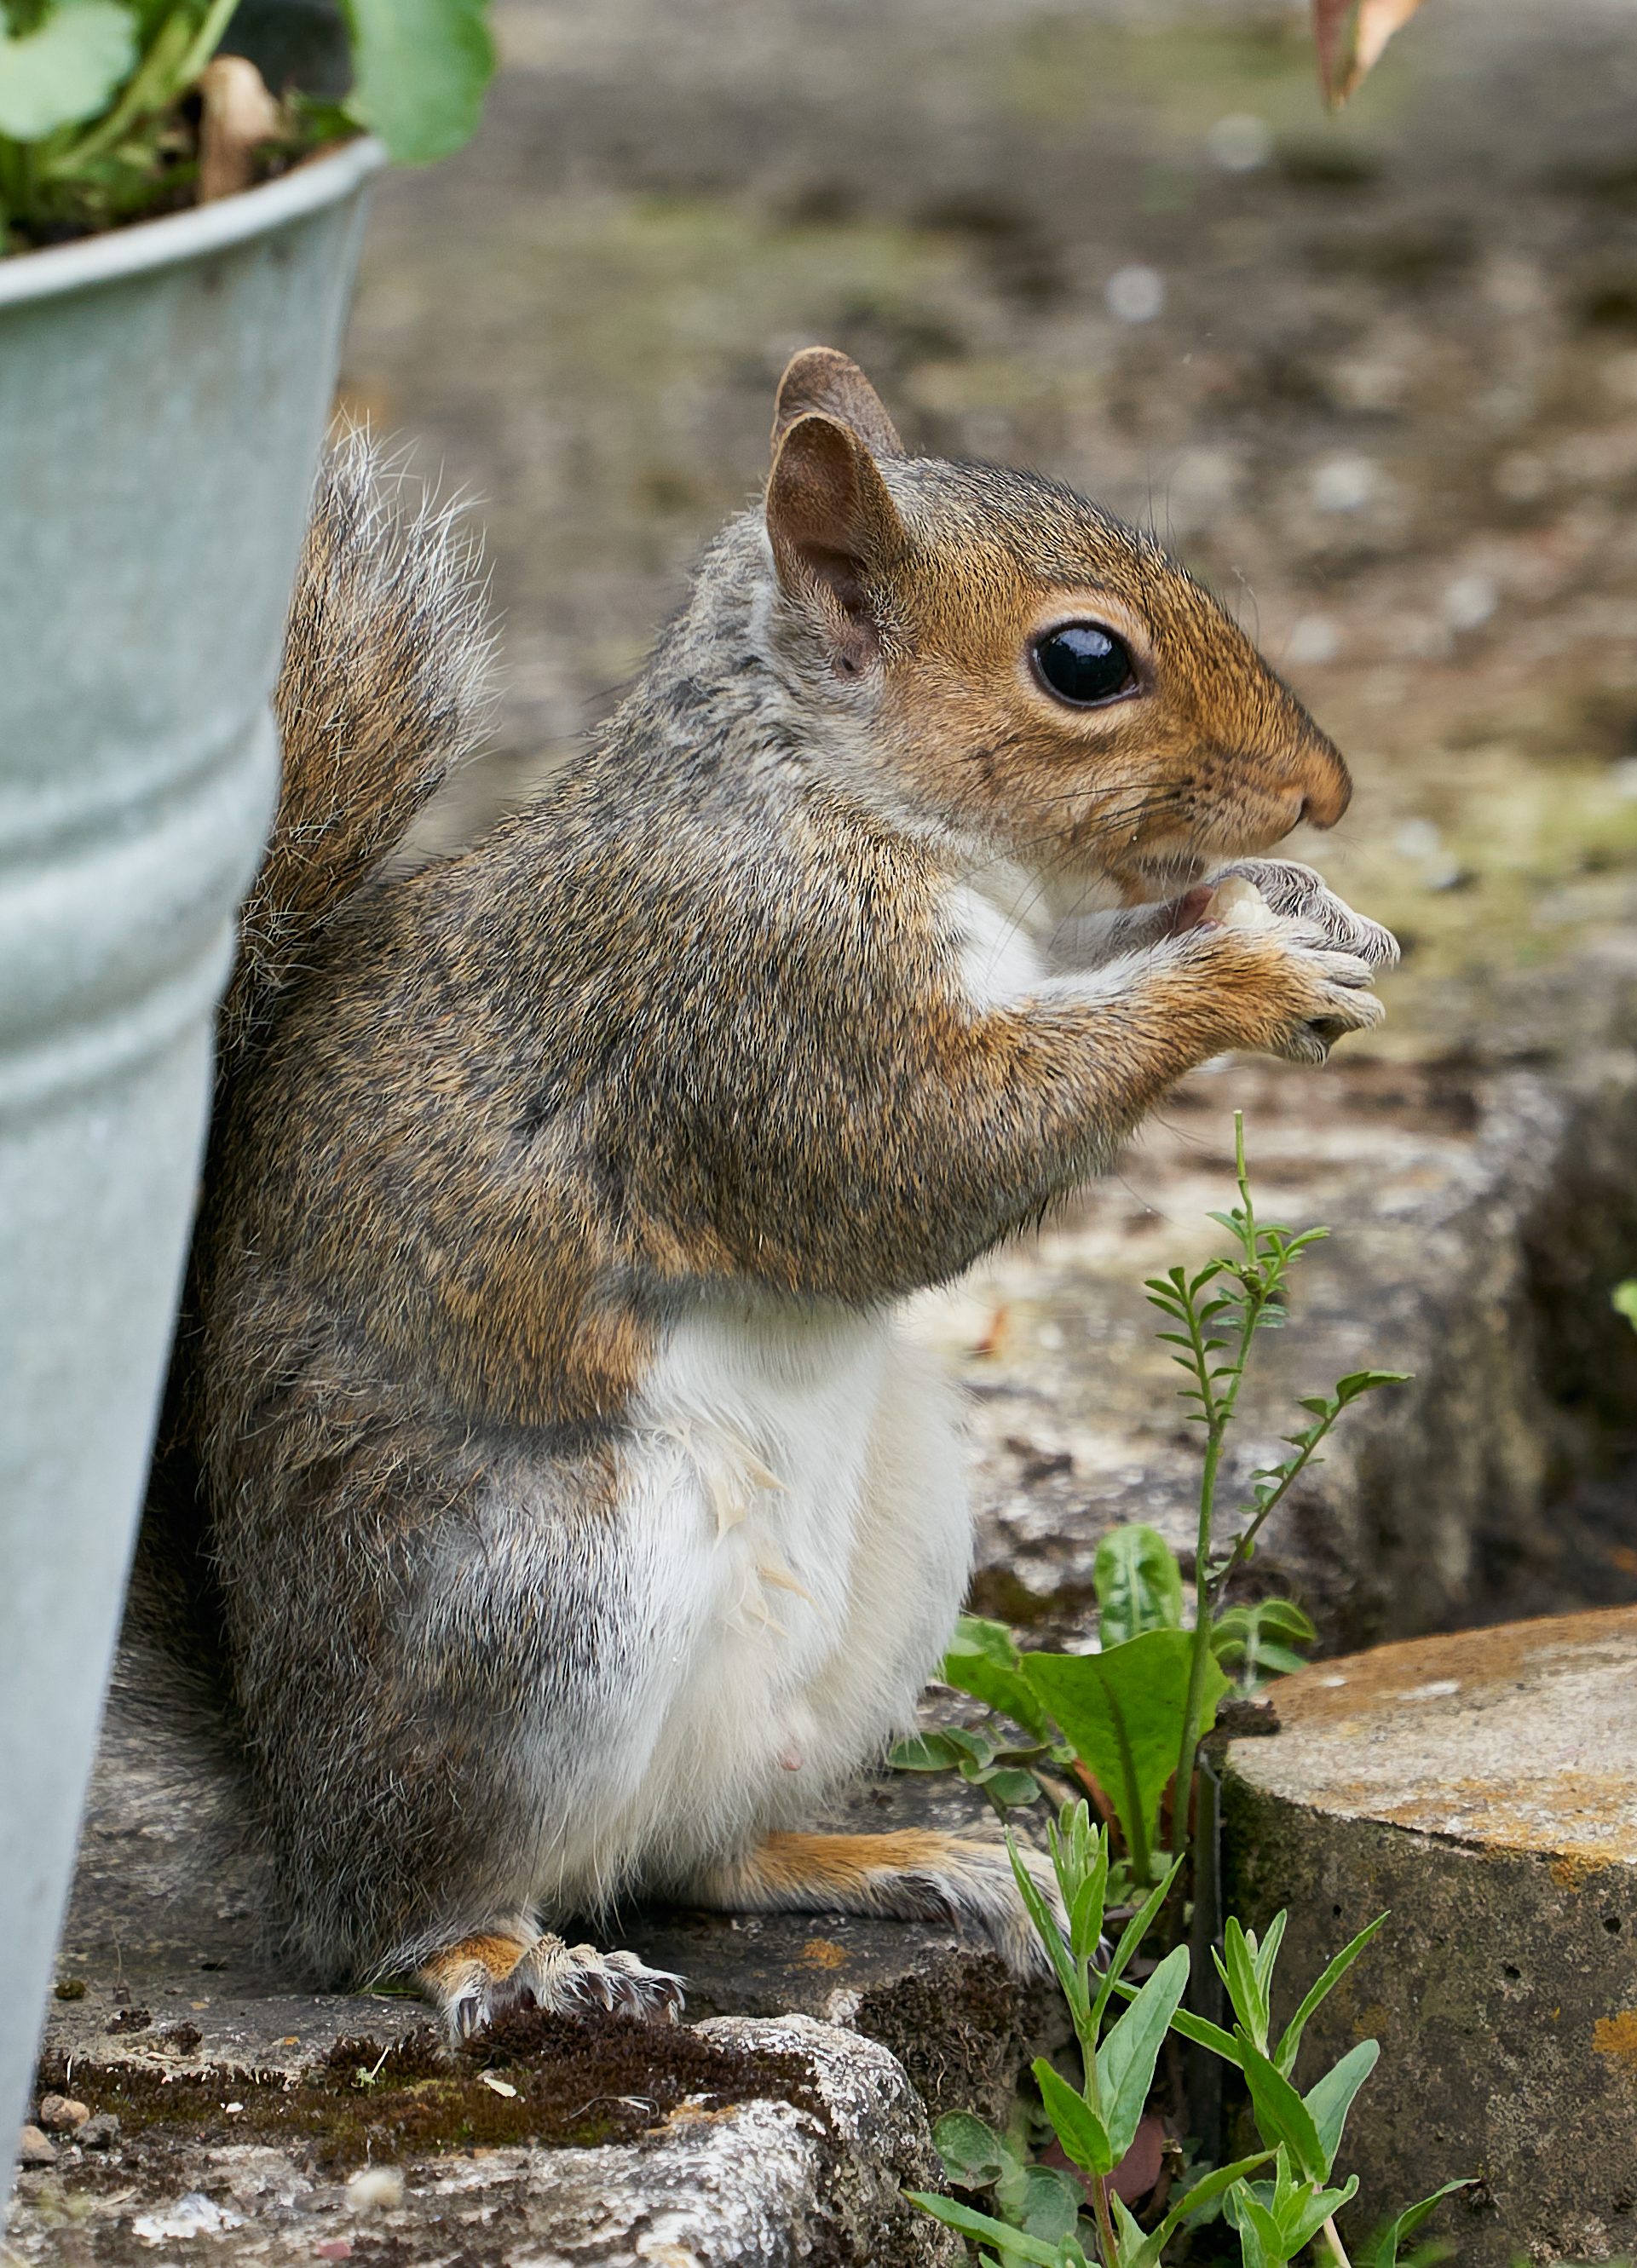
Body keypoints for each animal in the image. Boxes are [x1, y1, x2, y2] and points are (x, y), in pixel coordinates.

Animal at [140, 348, 1387, 2041]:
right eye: (1082, 661)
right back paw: (508, 1959)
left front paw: (1300, 911)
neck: (825, 787)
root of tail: (291, 1799)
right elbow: (921, 1159)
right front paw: (1248, 966)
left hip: (892, 1558)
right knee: (414, 1909)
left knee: (701, 1855)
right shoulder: (754, 994)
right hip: (547, 1599)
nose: (1322, 792)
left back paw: (900, 1859)